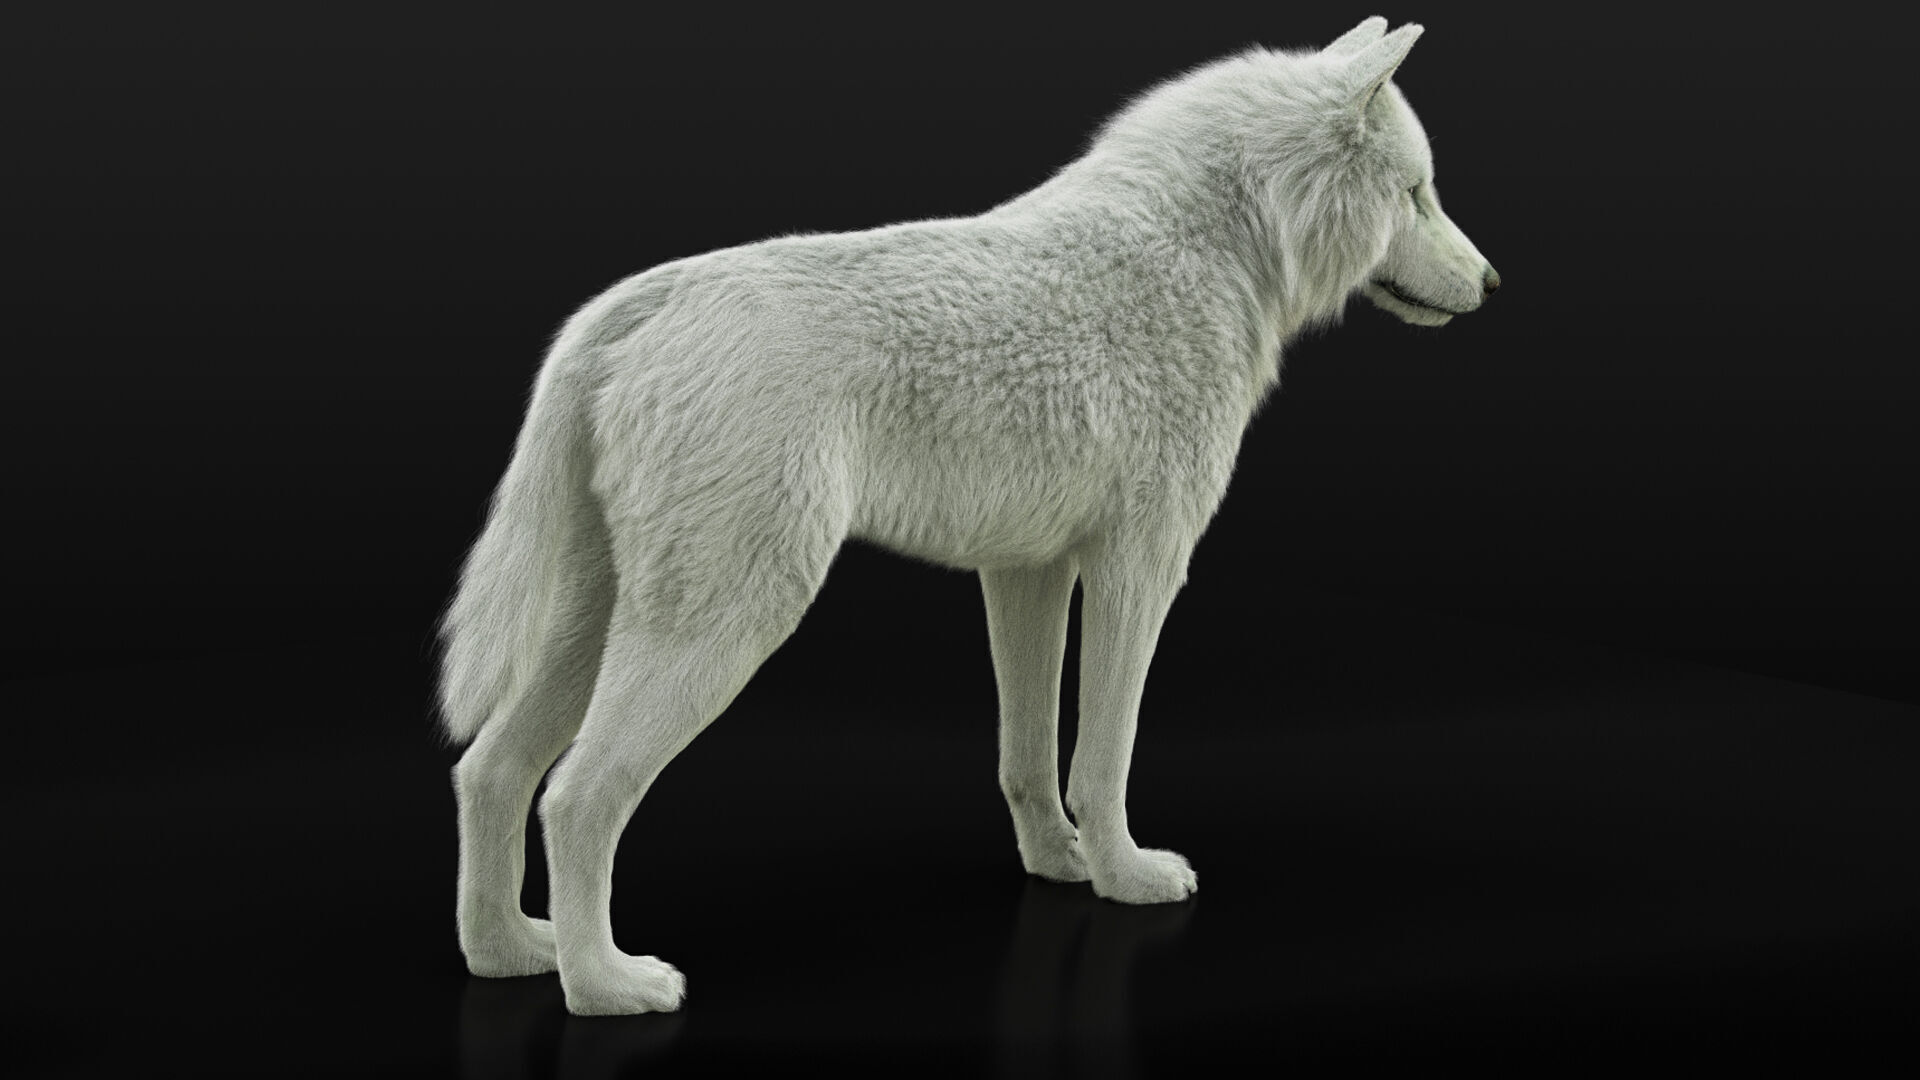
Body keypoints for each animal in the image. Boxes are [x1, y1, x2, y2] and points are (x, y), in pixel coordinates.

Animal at [439, 17, 1498, 1016]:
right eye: (1417, 194)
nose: (1491, 283)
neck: (1208, 248)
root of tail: (630, 310)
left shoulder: (1028, 573)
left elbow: (1028, 757)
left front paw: (1061, 866)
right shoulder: (1141, 567)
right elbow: (1104, 756)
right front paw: (1127, 876)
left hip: (600, 623)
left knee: (490, 771)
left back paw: (512, 954)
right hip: (728, 620)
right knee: (577, 797)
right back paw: (606, 987)